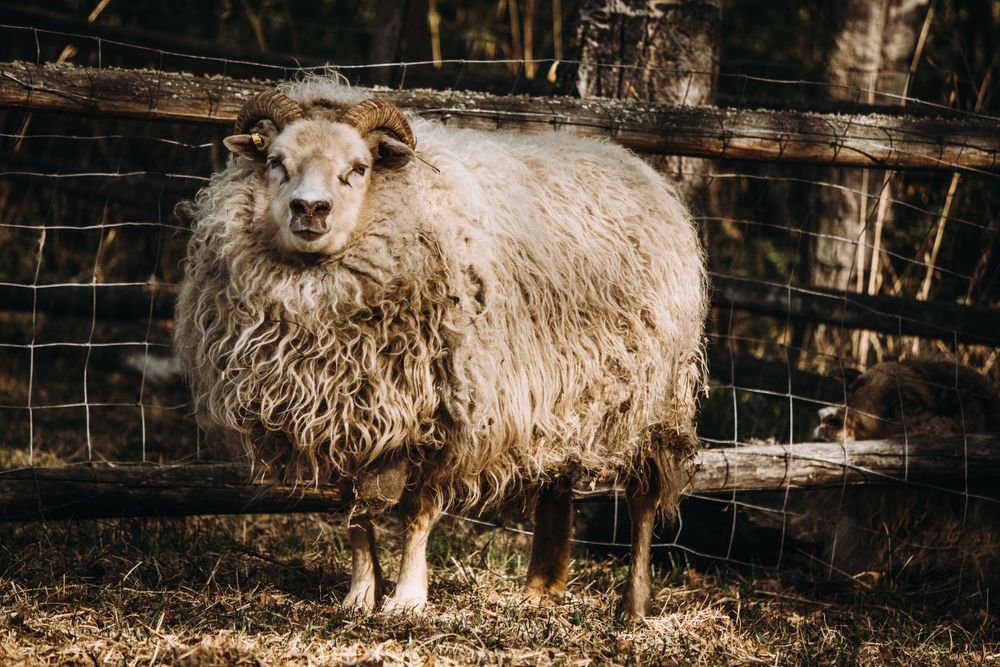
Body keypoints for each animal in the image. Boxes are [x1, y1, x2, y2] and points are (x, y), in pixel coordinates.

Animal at [174, 79, 708, 618]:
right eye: (276, 162)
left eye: (359, 168)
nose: (310, 209)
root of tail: (639, 169)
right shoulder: (347, 411)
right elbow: (353, 511)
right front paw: (360, 595)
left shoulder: (445, 411)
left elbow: (416, 511)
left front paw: (407, 599)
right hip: (566, 394)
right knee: (558, 479)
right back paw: (541, 588)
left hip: (656, 397)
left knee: (644, 497)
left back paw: (633, 604)